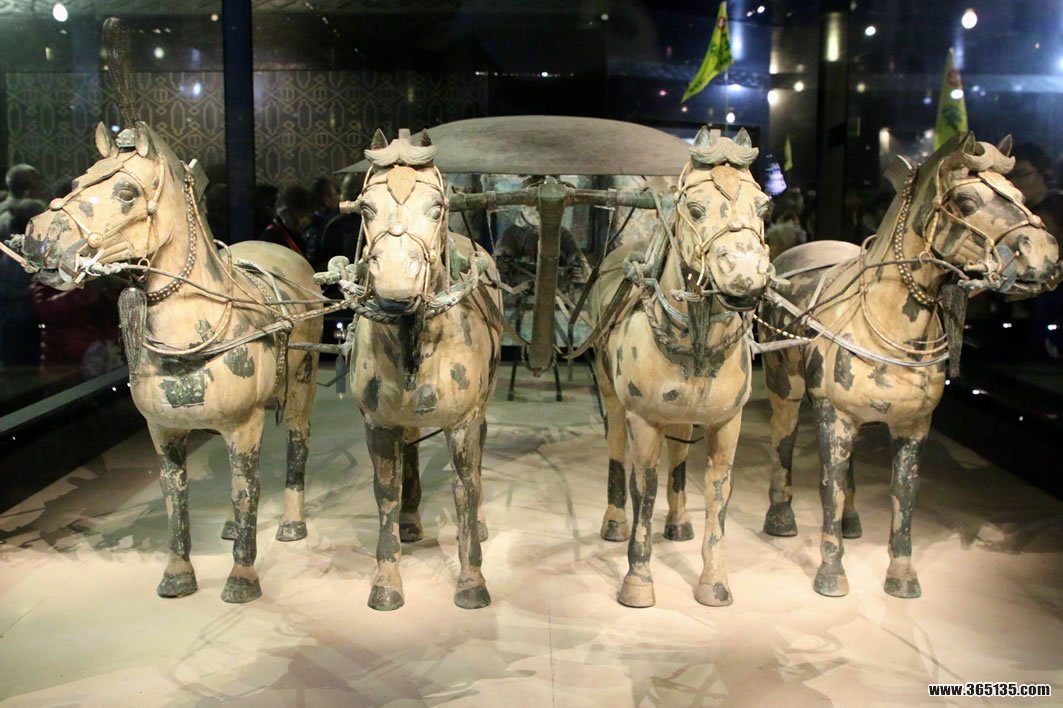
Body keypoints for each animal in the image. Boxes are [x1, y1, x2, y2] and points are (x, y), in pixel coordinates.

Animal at [18, 121, 324, 603]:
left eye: (127, 192)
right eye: (78, 180)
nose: (36, 236)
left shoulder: (245, 424)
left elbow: (246, 489)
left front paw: (242, 579)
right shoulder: (162, 432)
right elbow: (175, 496)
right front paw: (178, 575)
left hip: (301, 388)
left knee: (297, 441)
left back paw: (292, 522)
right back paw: (229, 527)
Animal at [327, 128, 502, 611]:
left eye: (436, 207)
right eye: (367, 208)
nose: (396, 287)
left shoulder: (463, 422)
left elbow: (466, 488)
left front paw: (472, 581)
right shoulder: (379, 423)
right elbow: (385, 490)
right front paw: (387, 581)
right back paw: (409, 522)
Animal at [590, 127, 772, 607]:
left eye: (764, 205)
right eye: (695, 208)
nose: (746, 277)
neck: (696, 341)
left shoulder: (727, 422)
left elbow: (717, 494)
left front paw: (714, 584)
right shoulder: (644, 419)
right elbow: (644, 489)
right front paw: (638, 582)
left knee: (680, 452)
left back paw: (677, 523)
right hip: (610, 392)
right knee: (616, 446)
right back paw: (613, 521)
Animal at [758, 133, 1061, 598]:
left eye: (1020, 196)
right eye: (967, 202)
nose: (1044, 255)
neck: (884, 319)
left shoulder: (913, 426)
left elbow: (905, 494)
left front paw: (901, 575)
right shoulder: (834, 416)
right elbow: (828, 488)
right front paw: (831, 573)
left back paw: (851, 522)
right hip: (785, 388)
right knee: (784, 442)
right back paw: (781, 519)